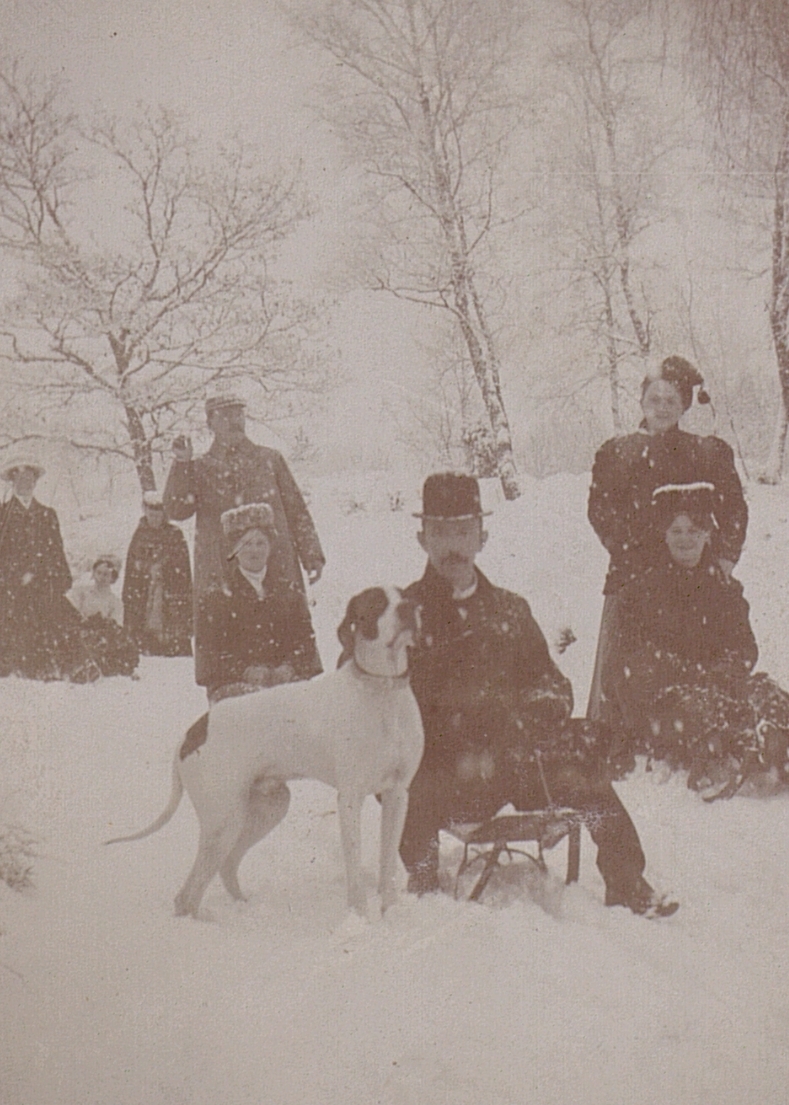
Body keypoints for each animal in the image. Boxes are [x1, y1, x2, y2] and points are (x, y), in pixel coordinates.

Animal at [108, 592, 424, 919]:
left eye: (404, 595)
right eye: (376, 603)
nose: (410, 608)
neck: (383, 691)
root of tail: (192, 732)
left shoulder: (398, 794)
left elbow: (388, 863)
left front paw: (390, 911)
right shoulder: (350, 797)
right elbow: (355, 867)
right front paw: (359, 916)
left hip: (266, 808)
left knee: (225, 866)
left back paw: (242, 906)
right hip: (224, 821)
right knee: (186, 895)